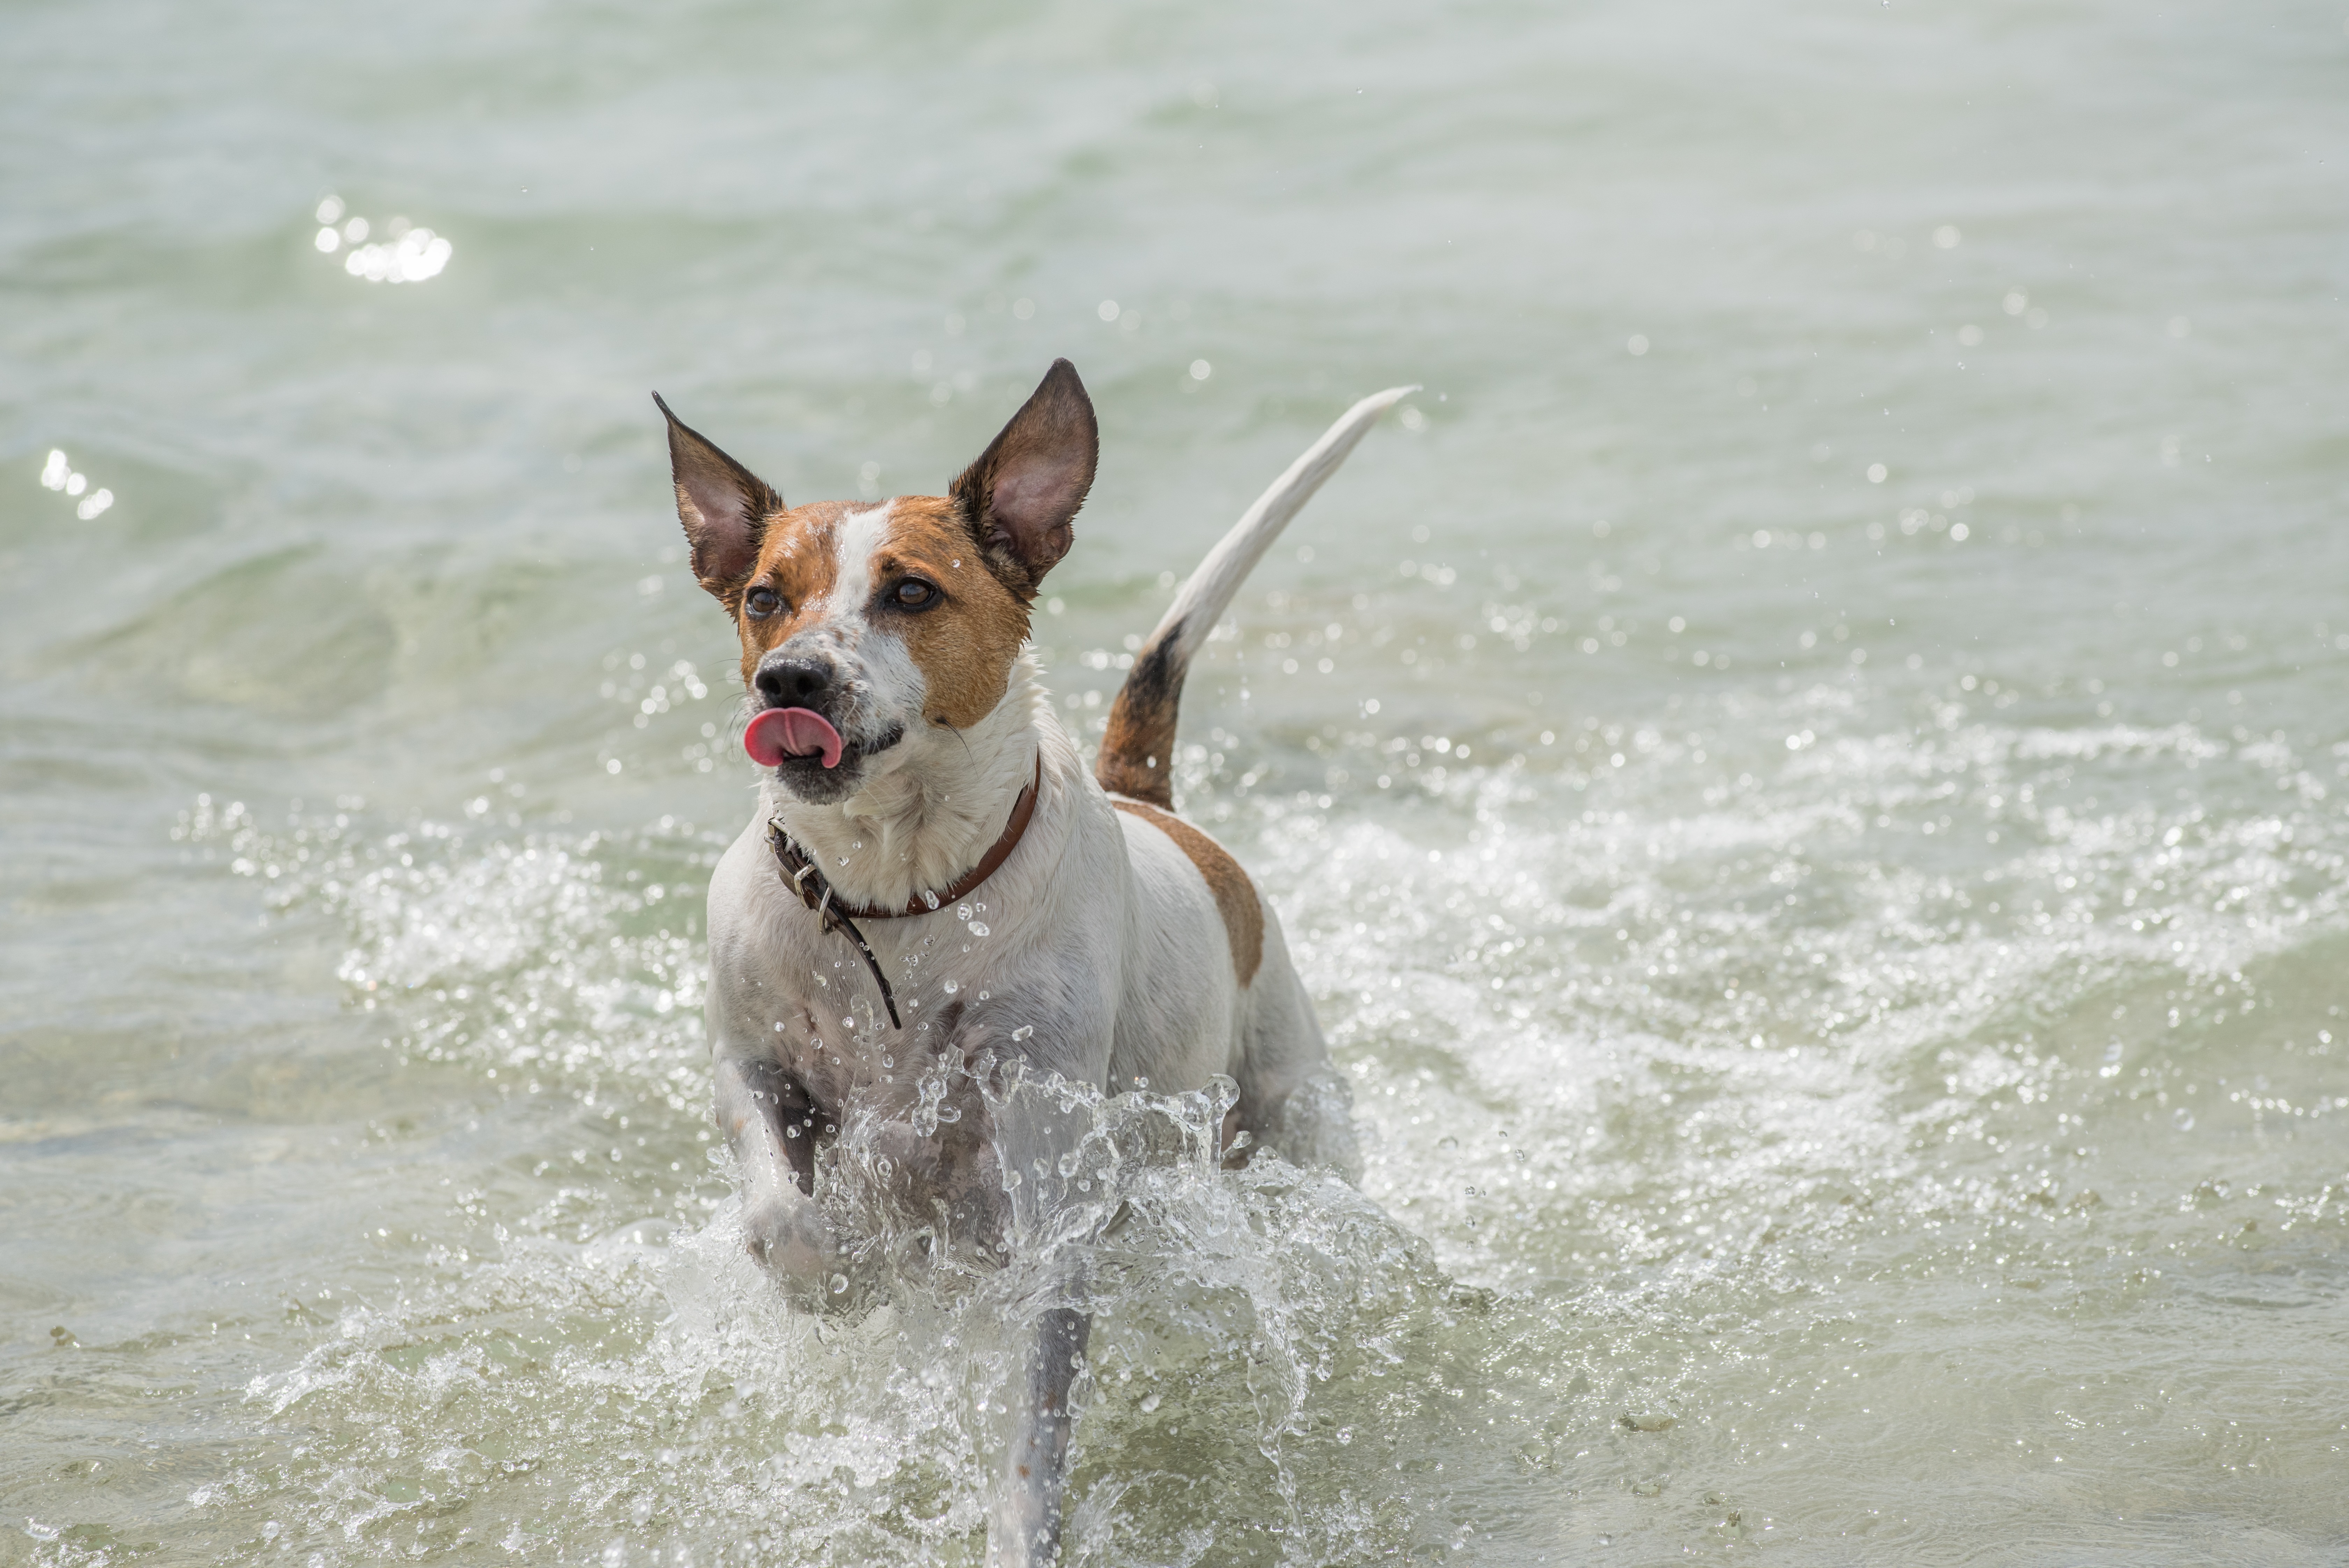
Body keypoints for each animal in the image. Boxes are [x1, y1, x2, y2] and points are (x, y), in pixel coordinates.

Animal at [653, 362, 1400, 1561]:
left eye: (911, 593)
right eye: (765, 597)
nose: (789, 681)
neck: (899, 896)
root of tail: (1156, 803)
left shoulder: (1045, 1179)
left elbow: (1036, 1413)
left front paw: (1020, 1524)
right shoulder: (751, 1060)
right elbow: (779, 1207)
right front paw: (834, 1273)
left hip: (1293, 1106)